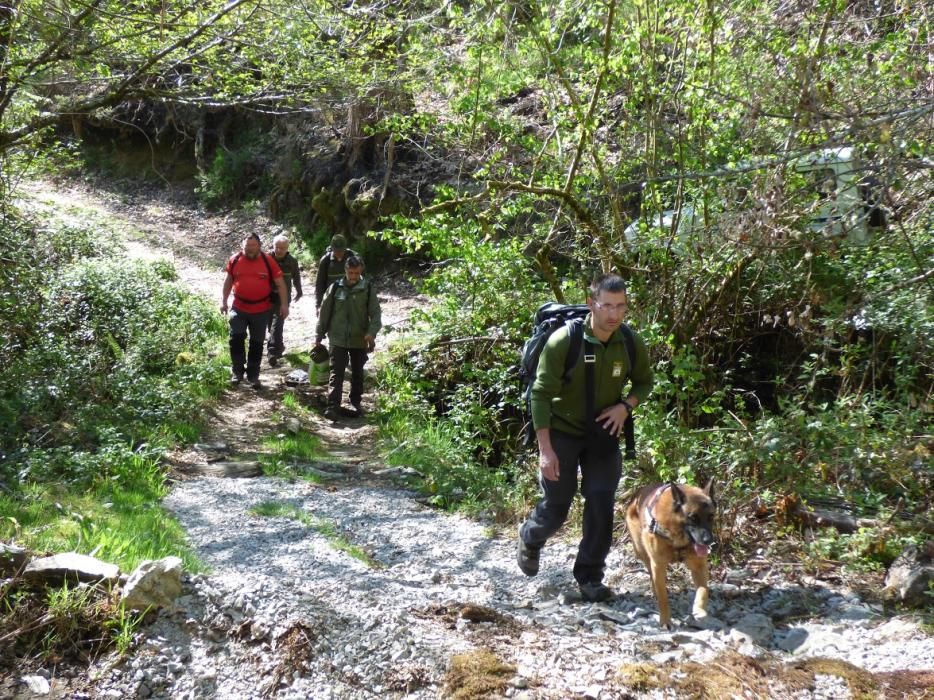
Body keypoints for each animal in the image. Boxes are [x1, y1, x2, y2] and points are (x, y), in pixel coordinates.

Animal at [628, 482, 716, 628]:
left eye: (711, 516)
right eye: (693, 517)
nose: (708, 541)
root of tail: (636, 494)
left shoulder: (699, 567)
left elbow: (703, 591)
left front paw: (699, 610)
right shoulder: (658, 566)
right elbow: (663, 598)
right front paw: (665, 621)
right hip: (642, 552)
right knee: (651, 574)